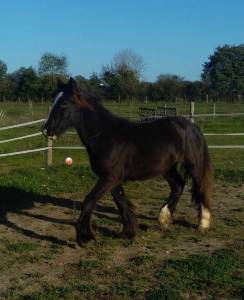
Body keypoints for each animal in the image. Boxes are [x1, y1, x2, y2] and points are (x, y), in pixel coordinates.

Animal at [42, 77, 214, 246]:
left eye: (64, 103)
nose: (45, 129)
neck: (105, 135)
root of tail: (191, 126)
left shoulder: (110, 177)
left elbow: (89, 200)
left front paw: (85, 237)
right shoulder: (113, 178)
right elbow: (121, 201)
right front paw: (127, 232)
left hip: (193, 166)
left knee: (199, 187)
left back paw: (203, 225)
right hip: (167, 168)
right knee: (178, 185)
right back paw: (163, 219)